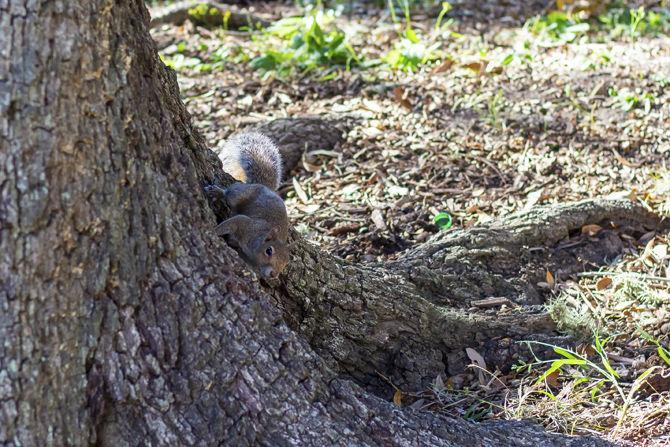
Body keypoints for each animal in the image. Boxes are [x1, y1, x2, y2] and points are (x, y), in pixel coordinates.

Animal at [205, 132, 288, 280]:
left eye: (285, 264)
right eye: (269, 250)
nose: (274, 274)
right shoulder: (246, 225)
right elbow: (231, 224)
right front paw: (213, 232)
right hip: (239, 194)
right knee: (229, 194)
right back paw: (218, 192)